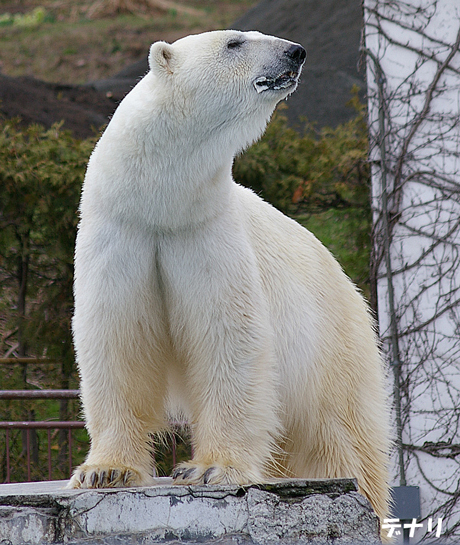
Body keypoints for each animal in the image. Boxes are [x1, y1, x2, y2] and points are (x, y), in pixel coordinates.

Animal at [70, 30, 390, 524]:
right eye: (235, 42)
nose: (296, 51)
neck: (161, 203)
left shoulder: (206, 233)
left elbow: (228, 337)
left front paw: (208, 468)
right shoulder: (122, 233)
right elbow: (116, 336)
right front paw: (106, 471)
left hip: (333, 349)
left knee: (343, 440)